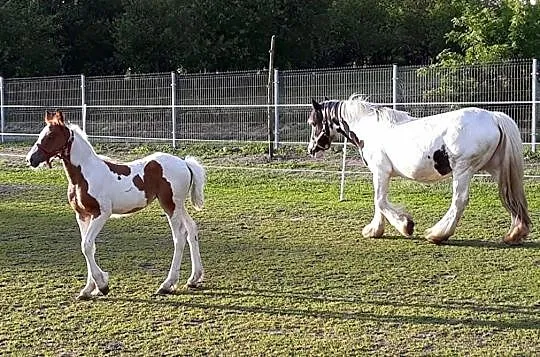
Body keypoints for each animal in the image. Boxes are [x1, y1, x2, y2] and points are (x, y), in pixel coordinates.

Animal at [25, 110, 207, 298]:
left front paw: (102, 284)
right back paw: (194, 279)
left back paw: (167, 284)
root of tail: (185, 163)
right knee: (191, 229)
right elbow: (88, 246)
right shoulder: (82, 215)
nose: (30, 159)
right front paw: (89, 289)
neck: (85, 174)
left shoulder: (101, 213)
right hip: (179, 205)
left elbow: (86, 246)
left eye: (51, 135)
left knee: (179, 237)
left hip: (170, 205)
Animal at [308, 95, 532, 245]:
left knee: (459, 201)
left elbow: (380, 201)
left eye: (313, 122)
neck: (371, 129)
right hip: (497, 169)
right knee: (511, 197)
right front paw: (374, 230)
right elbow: (379, 201)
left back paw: (437, 234)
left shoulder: (380, 171)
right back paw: (514, 234)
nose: (311, 149)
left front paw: (405, 226)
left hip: (463, 170)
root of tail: (494, 117)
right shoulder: (380, 174)